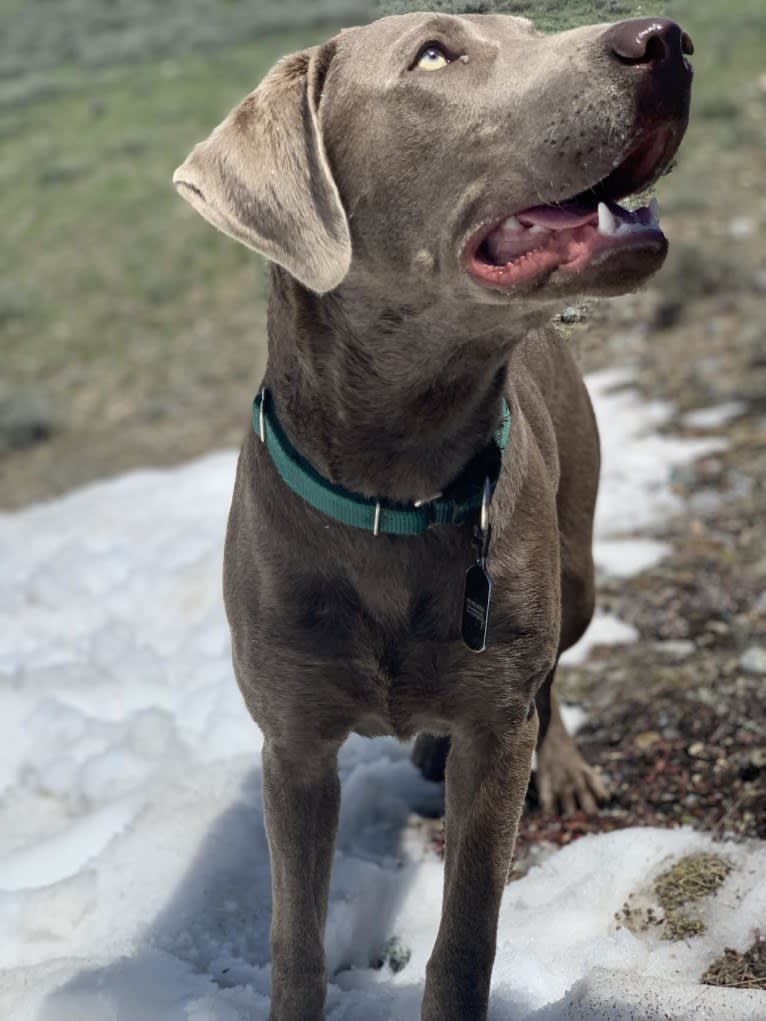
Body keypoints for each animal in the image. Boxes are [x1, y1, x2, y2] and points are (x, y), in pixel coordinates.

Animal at [173, 11, 694, 1016]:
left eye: (527, 30)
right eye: (434, 54)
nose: (665, 38)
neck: (395, 492)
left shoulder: (493, 729)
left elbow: (466, 936)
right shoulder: (293, 744)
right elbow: (295, 936)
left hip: (574, 573)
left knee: (551, 678)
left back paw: (561, 767)